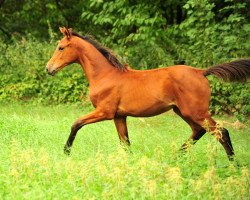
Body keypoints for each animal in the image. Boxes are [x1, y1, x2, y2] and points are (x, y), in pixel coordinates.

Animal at [46, 27, 249, 161]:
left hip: (196, 112)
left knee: (221, 132)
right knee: (199, 131)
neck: (105, 75)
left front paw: (66, 152)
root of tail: (201, 72)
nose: (49, 68)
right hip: (183, 112)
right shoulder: (119, 116)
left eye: (61, 47)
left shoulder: (105, 112)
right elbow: (125, 143)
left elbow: (76, 124)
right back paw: (175, 157)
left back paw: (233, 164)